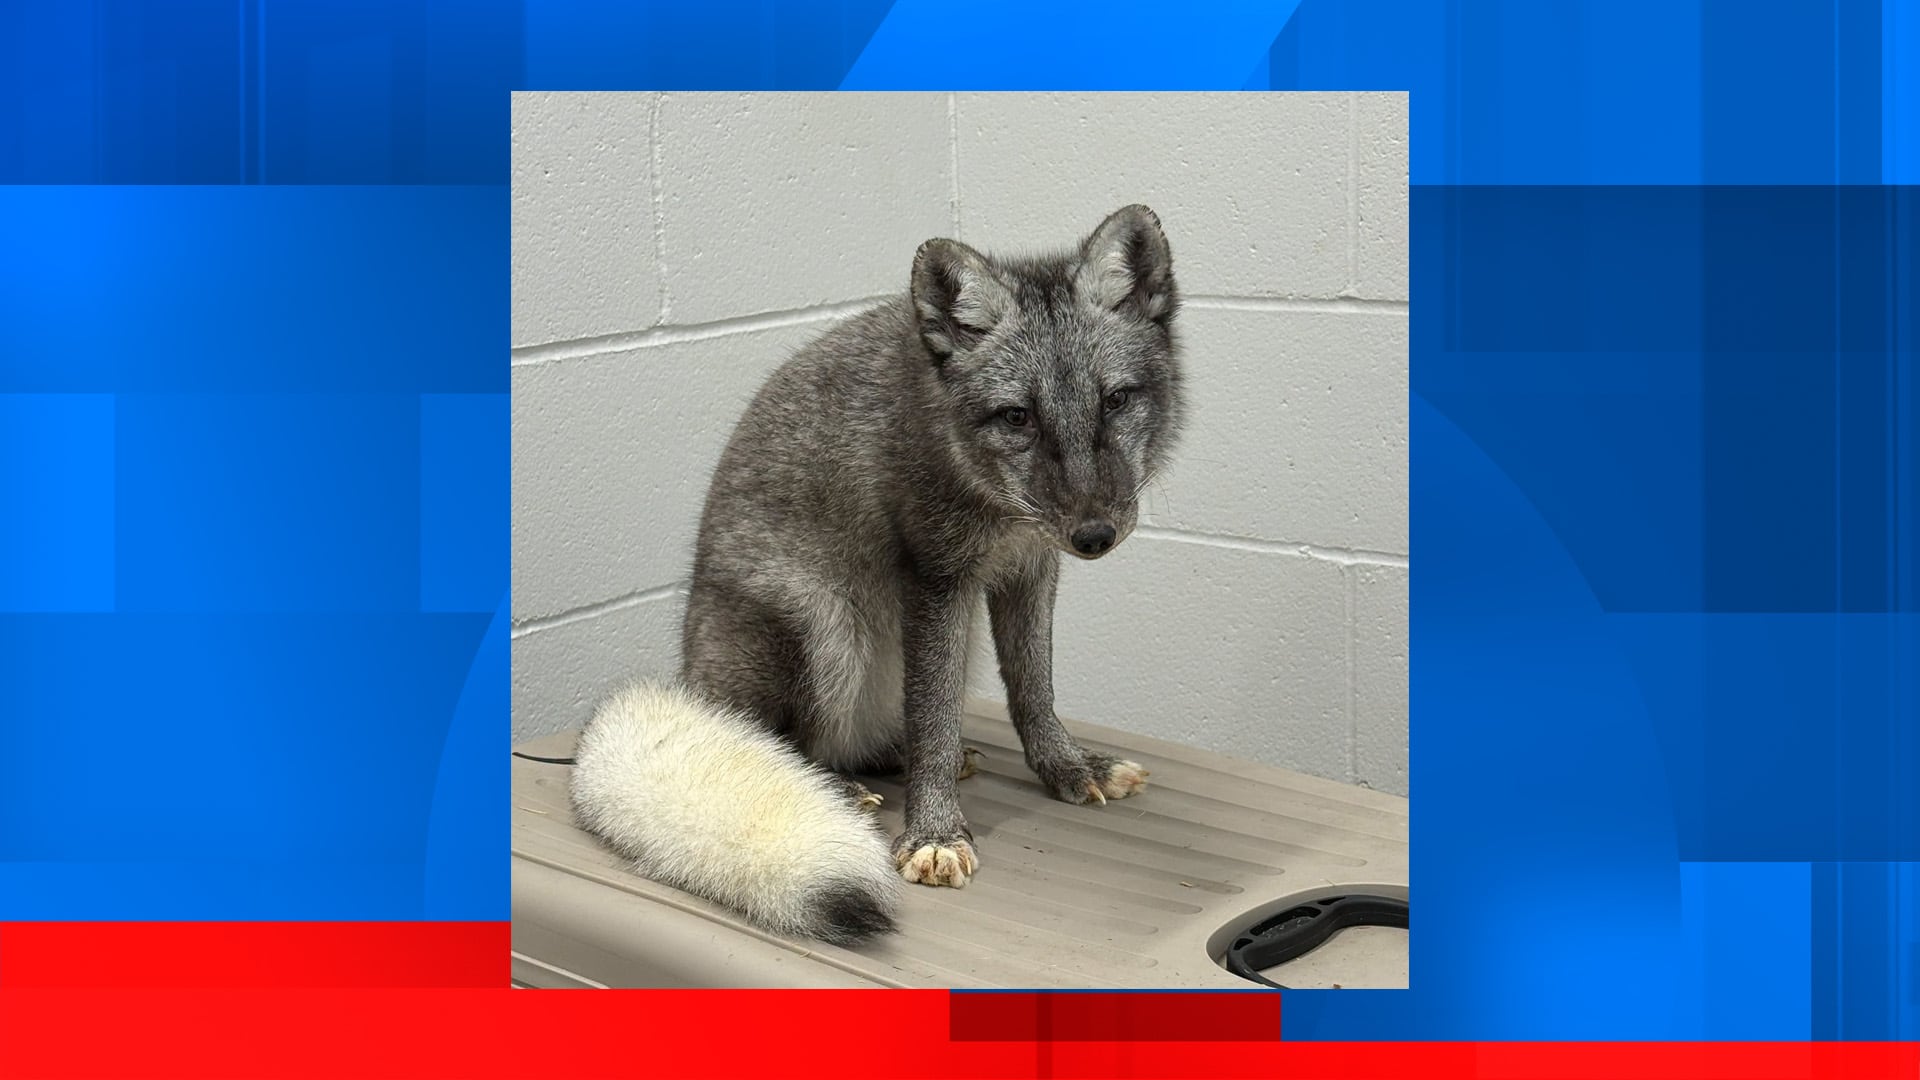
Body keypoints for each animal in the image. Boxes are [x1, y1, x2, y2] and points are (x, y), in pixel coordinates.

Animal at [569, 204, 1185, 945]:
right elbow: (934, 715)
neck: (995, 502)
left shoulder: (1028, 570)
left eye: (1116, 401)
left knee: (873, 737)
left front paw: (1065, 767)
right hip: (826, 624)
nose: (1094, 536)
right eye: (1017, 417)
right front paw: (935, 832)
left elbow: (1032, 690)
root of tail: (689, 684)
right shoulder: (937, 577)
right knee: (780, 742)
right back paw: (834, 788)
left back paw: (895, 758)